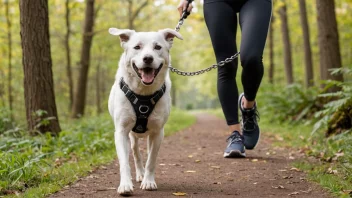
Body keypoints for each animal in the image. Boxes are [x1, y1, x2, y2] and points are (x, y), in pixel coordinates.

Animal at [108, 27, 183, 196]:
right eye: (137, 47)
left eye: (158, 47)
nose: (147, 58)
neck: (143, 93)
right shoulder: (121, 131)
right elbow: (124, 162)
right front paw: (125, 185)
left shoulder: (158, 132)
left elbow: (152, 160)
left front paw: (149, 182)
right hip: (132, 136)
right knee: (136, 152)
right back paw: (140, 173)